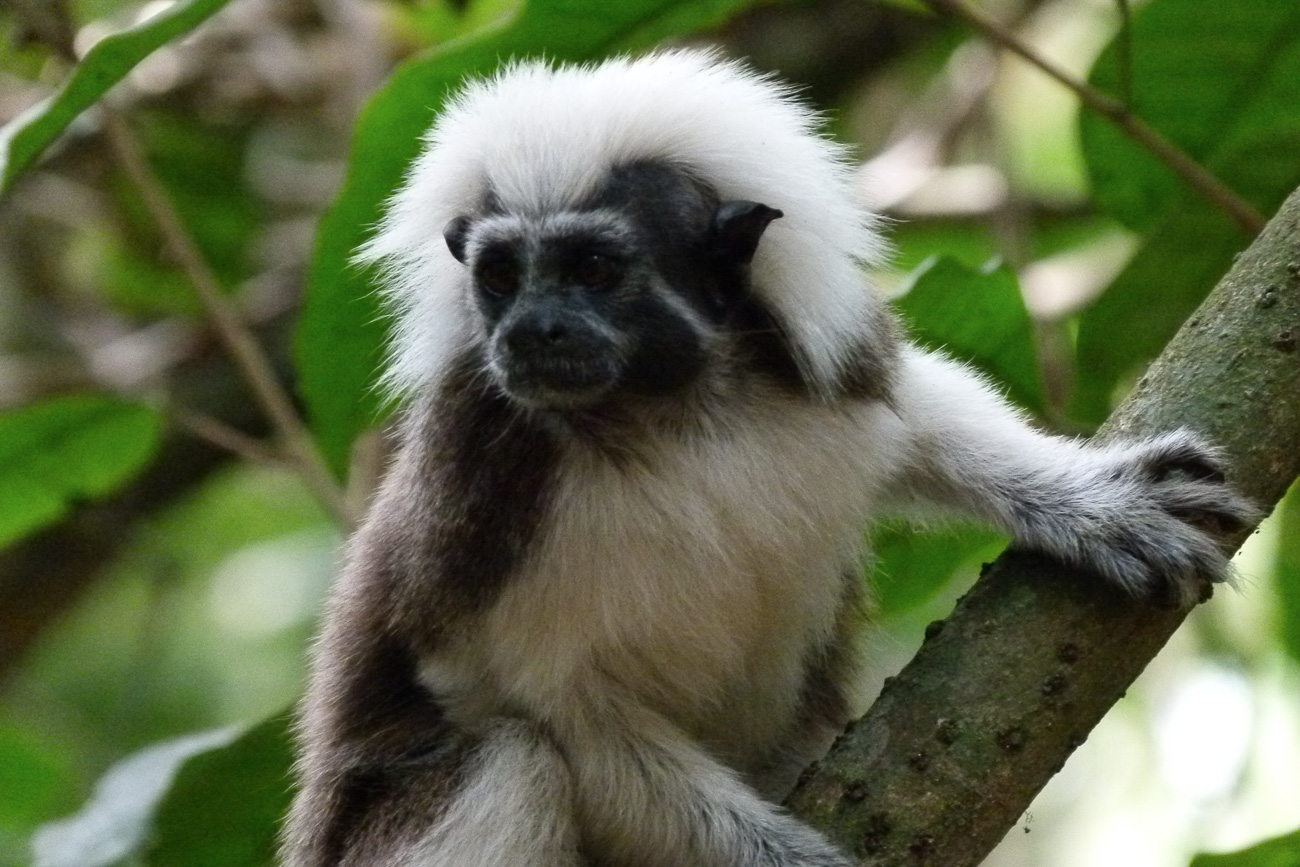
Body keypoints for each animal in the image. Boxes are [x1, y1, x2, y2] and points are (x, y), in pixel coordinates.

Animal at [281, 50, 1253, 867]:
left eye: (592, 268)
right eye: (500, 277)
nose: (530, 331)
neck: (671, 419)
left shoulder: (812, 375)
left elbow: (913, 412)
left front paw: (1095, 505)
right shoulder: (482, 501)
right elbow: (563, 721)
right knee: (511, 758)